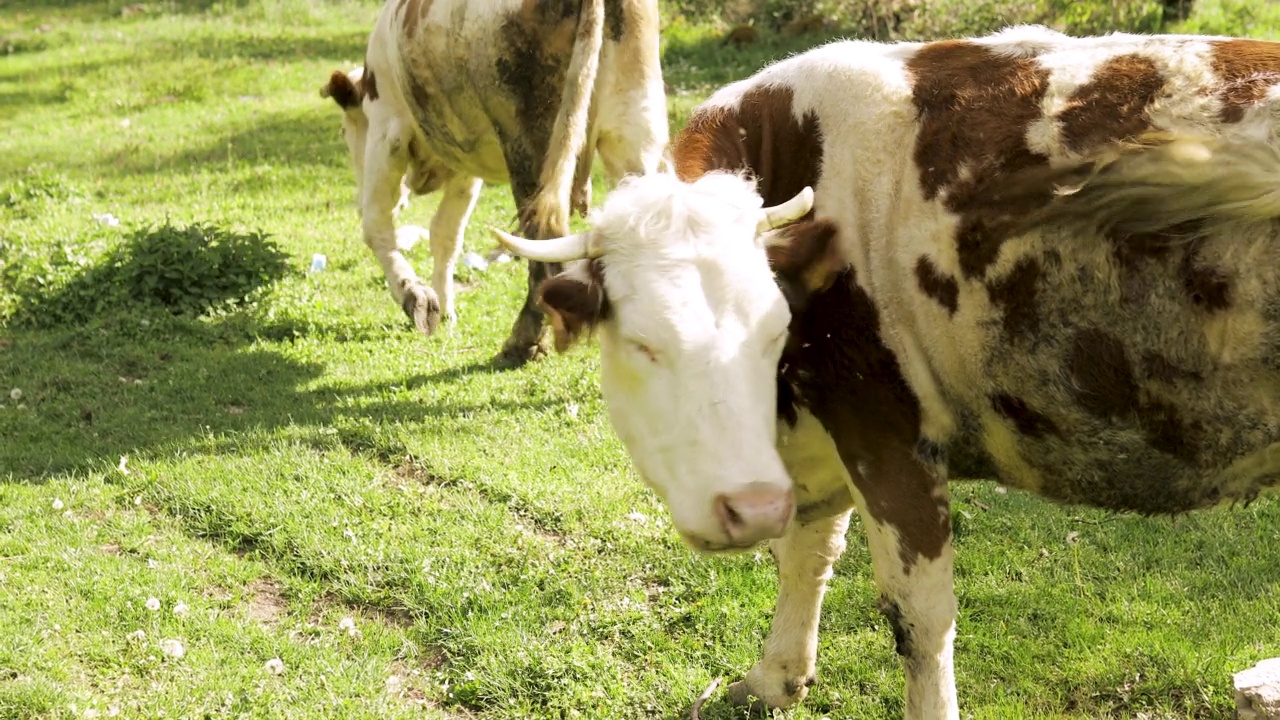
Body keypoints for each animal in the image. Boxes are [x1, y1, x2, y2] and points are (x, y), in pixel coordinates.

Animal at [317, 0, 670, 363]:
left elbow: (376, 224)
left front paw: (415, 296)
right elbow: (446, 234)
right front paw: (445, 308)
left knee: (545, 237)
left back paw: (524, 341)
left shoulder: (388, 128)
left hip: (534, 144)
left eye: (344, 131)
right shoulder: (463, 157)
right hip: (633, 134)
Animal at [494, 23, 1280, 717]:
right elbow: (804, 553)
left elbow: (918, 619)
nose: (751, 506)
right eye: (646, 343)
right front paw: (776, 677)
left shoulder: (884, 430)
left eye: (774, 330)